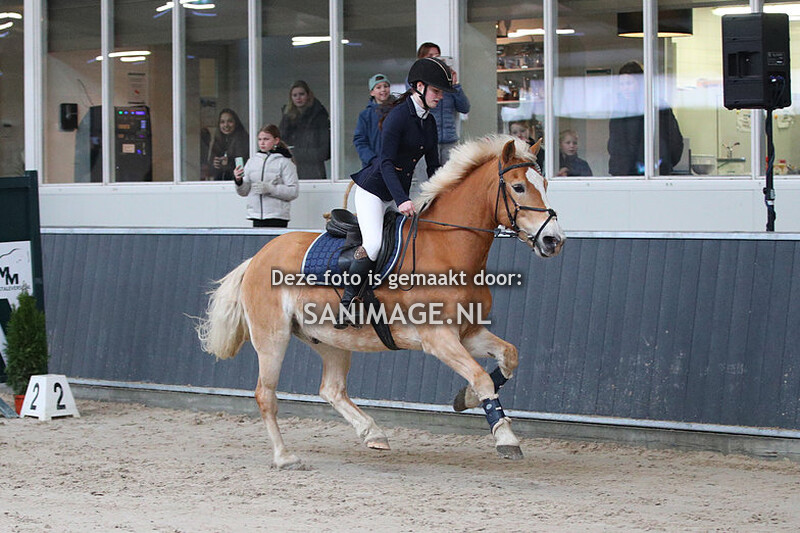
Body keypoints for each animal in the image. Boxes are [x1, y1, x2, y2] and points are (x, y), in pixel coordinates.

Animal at [197, 135, 565, 469]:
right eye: (518, 187)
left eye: (545, 184)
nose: (553, 241)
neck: (447, 249)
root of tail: (258, 257)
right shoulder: (439, 338)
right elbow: (482, 377)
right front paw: (505, 437)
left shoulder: (469, 332)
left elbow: (508, 357)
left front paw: (467, 399)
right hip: (272, 338)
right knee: (266, 395)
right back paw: (285, 457)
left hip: (330, 338)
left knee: (331, 389)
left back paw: (373, 434)